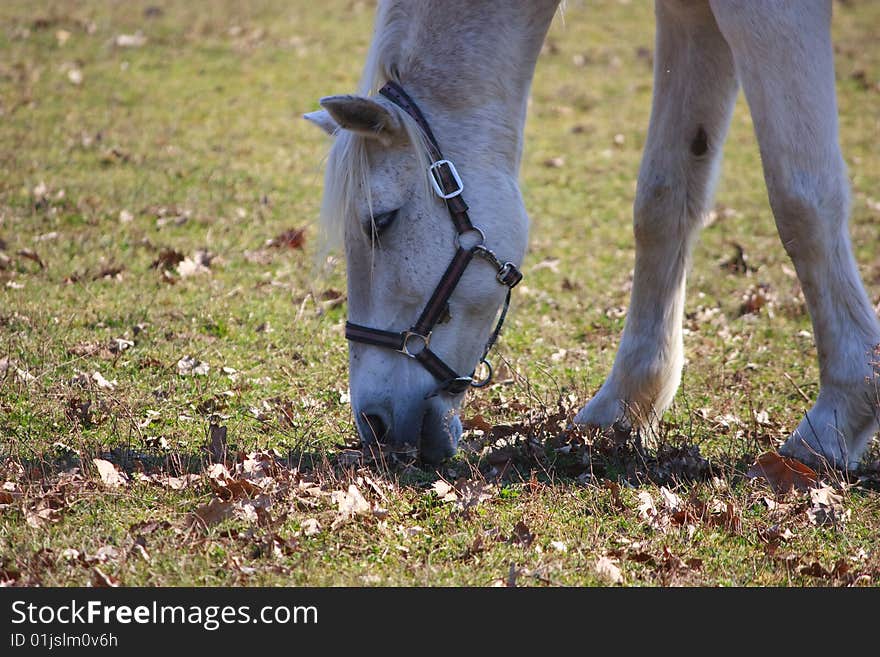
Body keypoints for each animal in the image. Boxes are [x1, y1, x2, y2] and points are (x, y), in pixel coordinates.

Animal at [304, 2, 880, 468]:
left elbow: (799, 198)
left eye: (380, 221)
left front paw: (839, 415)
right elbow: (664, 198)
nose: (373, 424)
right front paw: (623, 408)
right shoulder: (688, 13)